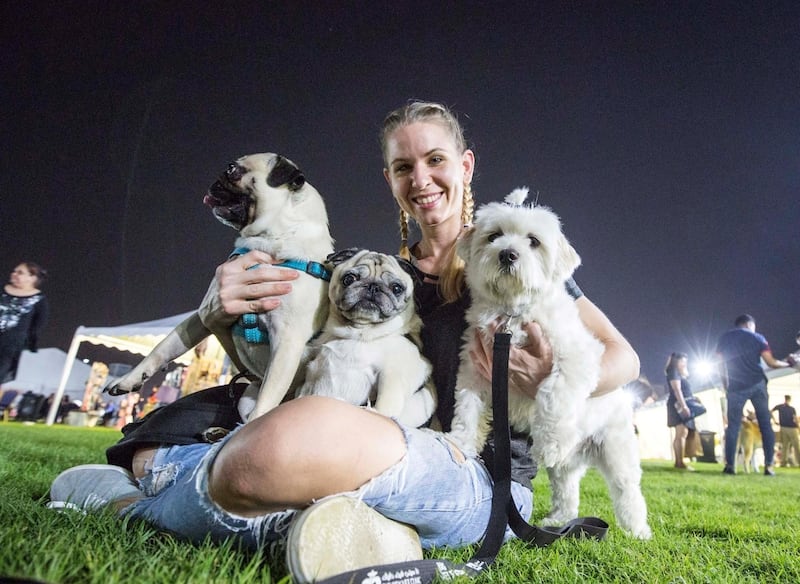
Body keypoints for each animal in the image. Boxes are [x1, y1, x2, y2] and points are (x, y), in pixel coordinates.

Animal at [106, 153, 332, 422]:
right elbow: (163, 348)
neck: (270, 242)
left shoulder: (287, 340)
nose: (215, 180)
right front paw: (130, 378)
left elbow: (267, 399)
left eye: (232, 169)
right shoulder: (203, 315)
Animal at [296, 249, 438, 426]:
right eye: (349, 279)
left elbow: (382, 406)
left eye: (396, 288)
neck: (358, 334)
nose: (373, 286)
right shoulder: (309, 368)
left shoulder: (392, 376)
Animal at [446, 188, 652, 540]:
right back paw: (558, 519)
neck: (511, 315)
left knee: (627, 490)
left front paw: (551, 440)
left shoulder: (576, 358)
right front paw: (461, 441)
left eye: (533, 241)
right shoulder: (474, 369)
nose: (507, 255)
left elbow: (552, 391)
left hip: (617, 449)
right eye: (494, 236)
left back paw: (637, 529)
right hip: (565, 470)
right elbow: (467, 408)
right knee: (566, 490)